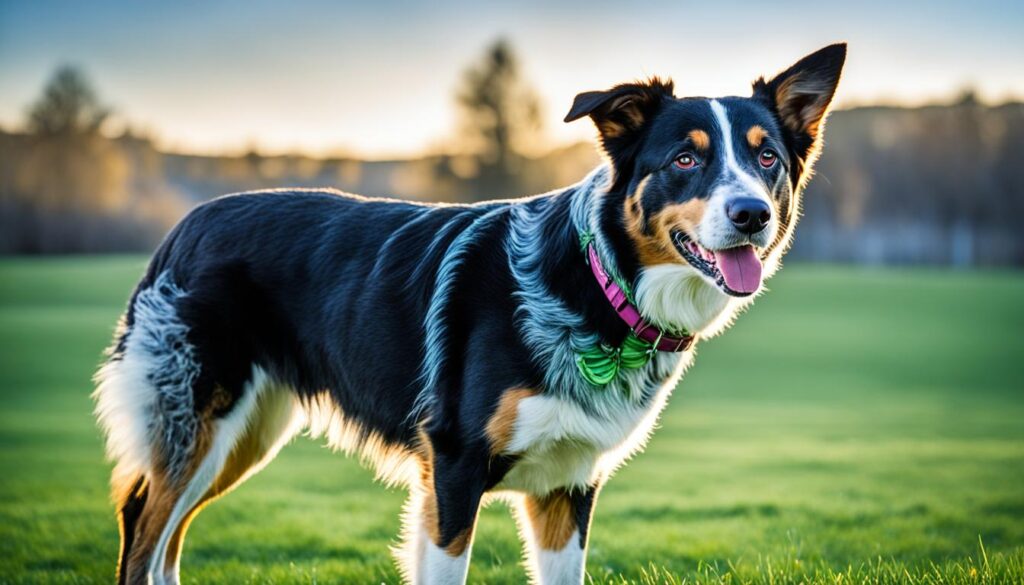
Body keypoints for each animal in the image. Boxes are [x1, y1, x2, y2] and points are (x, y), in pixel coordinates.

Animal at [96, 44, 847, 585]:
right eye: (686, 158)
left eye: (766, 158)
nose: (751, 214)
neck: (595, 282)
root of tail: (186, 223)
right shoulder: (453, 467)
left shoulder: (569, 482)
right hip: (199, 419)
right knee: (142, 525)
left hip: (247, 432)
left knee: (165, 537)